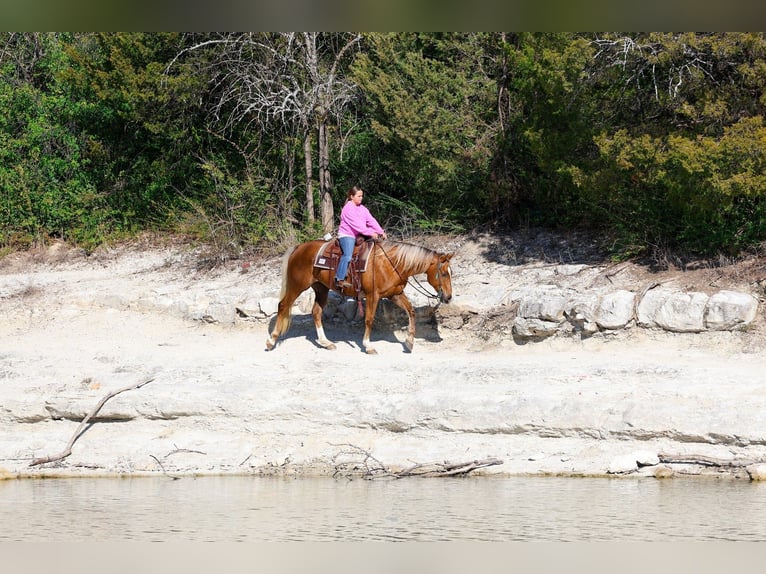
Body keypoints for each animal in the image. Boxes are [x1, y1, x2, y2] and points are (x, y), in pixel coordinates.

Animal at [265, 239, 454, 354]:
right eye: (444, 273)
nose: (448, 297)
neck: (391, 263)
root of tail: (298, 248)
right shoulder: (373, 295)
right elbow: (369, 319)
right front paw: (368, 345)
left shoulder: (395, 294)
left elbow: (411, 311)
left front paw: (409, 342)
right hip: (297, 285)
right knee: (283, 305)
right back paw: (271, 341)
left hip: (321, 288)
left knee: (316, 312)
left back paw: (326, 342)